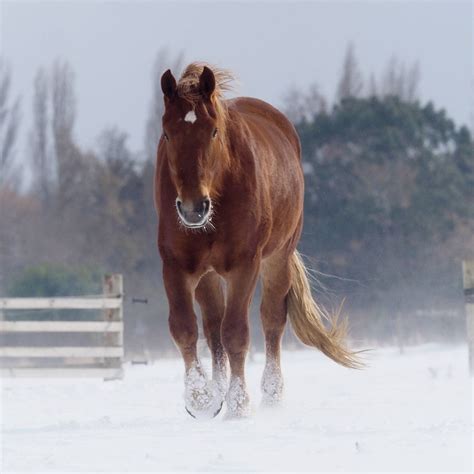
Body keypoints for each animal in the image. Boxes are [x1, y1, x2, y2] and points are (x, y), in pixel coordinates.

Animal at [156, 62, 360, 418]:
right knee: (212, 326)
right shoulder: (176, 266)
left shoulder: (244, 266)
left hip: (278, 259)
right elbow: (185, 328)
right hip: (208, 274)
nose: (193, 208)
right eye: (168, 133)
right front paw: (200, 399)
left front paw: (238, 406)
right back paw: (217, 391)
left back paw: (272, 394)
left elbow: (237, 332)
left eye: (213, 132)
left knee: (271, 320)